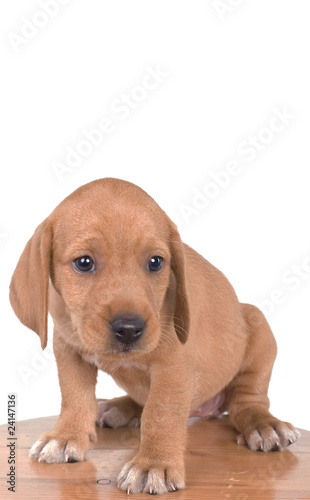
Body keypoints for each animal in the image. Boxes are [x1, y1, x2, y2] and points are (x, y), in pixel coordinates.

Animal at [10, 178, 300, 494]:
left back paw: (263, 425)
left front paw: (153, 463)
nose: (128, 329)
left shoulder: (173, 365)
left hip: (258, 327)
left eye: (155, 262)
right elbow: (75, 396)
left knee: (247, 401)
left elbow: (160, 413)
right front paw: (66, 436)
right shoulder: (67, 349)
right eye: (84, 262)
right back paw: (119, 406)